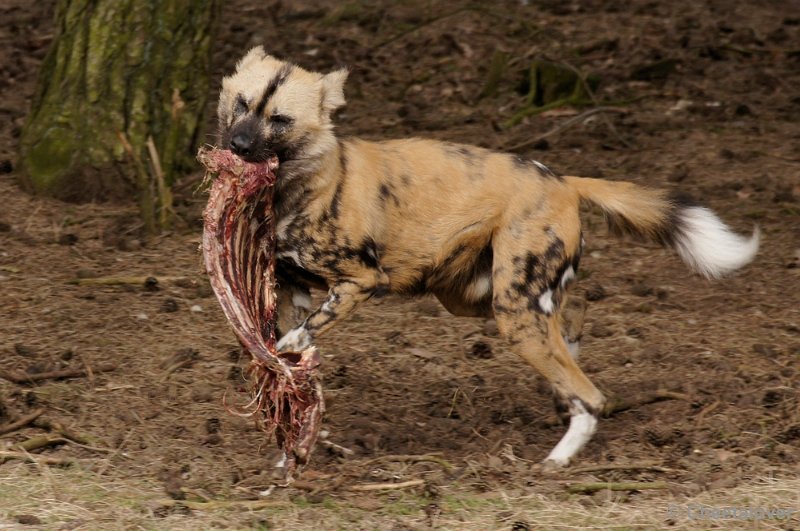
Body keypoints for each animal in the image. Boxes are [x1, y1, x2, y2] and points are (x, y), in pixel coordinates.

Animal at [216, 46, 760, 470]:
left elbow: (293, 342)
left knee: (591, 395)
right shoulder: (294, 287)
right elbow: (292, 367)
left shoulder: (359, 282)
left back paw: (557, 459)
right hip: (479, 298)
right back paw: (565, 382)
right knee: (575, 316)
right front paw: (287, 449)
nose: (238, 145)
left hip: (511, 312)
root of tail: (564, 181)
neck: (291, 187)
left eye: (280, 120)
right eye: (241, 104)